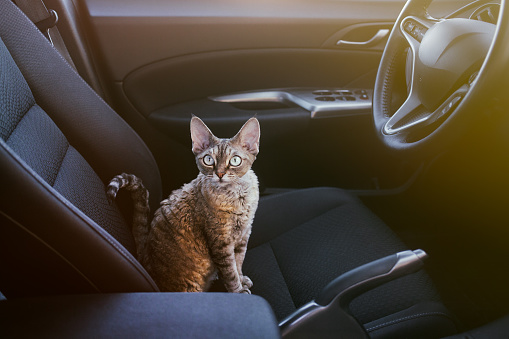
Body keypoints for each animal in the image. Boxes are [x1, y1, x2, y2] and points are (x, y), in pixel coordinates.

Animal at [105, 117, 260, 294]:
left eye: (235, 160)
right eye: (208, 159)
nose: (220, 174)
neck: (238, 197)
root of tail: (145, 258)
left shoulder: (244, 235)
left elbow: (239, 263)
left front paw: (242, 280)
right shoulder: (220, 244)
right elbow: (230, 273)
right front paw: (239, 291)